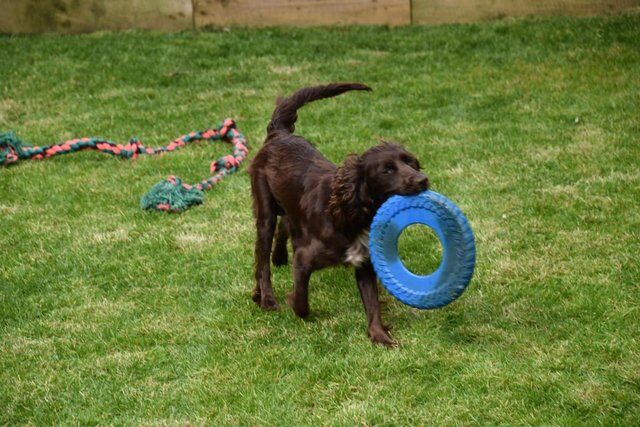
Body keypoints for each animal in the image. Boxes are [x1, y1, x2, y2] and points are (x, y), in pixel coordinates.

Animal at [250, 83, 430, 348]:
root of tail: (279, 133)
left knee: (285, 226)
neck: (353, 215)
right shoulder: (304, 258)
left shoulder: (364, 262)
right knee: (262, 258)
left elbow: (372, 304)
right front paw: (293, 302)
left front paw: (381, 337)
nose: (422, 180)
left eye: (411, 163)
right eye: (387, 170)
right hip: (264, 209)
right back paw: (267, 299)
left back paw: (279, 258)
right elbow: (302, 301)